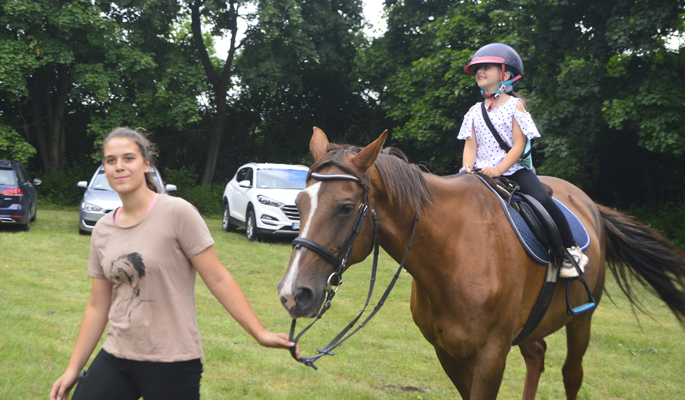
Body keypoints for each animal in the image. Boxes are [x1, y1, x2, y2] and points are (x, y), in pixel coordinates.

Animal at [276, 129, 684, 400]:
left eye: (346, 207)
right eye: (299, 202)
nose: (293, 293)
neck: (455, 255)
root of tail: (590, 205)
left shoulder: (490, 356)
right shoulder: (449, 353)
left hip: (581, 319)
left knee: (572, 374)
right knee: (537, 356)